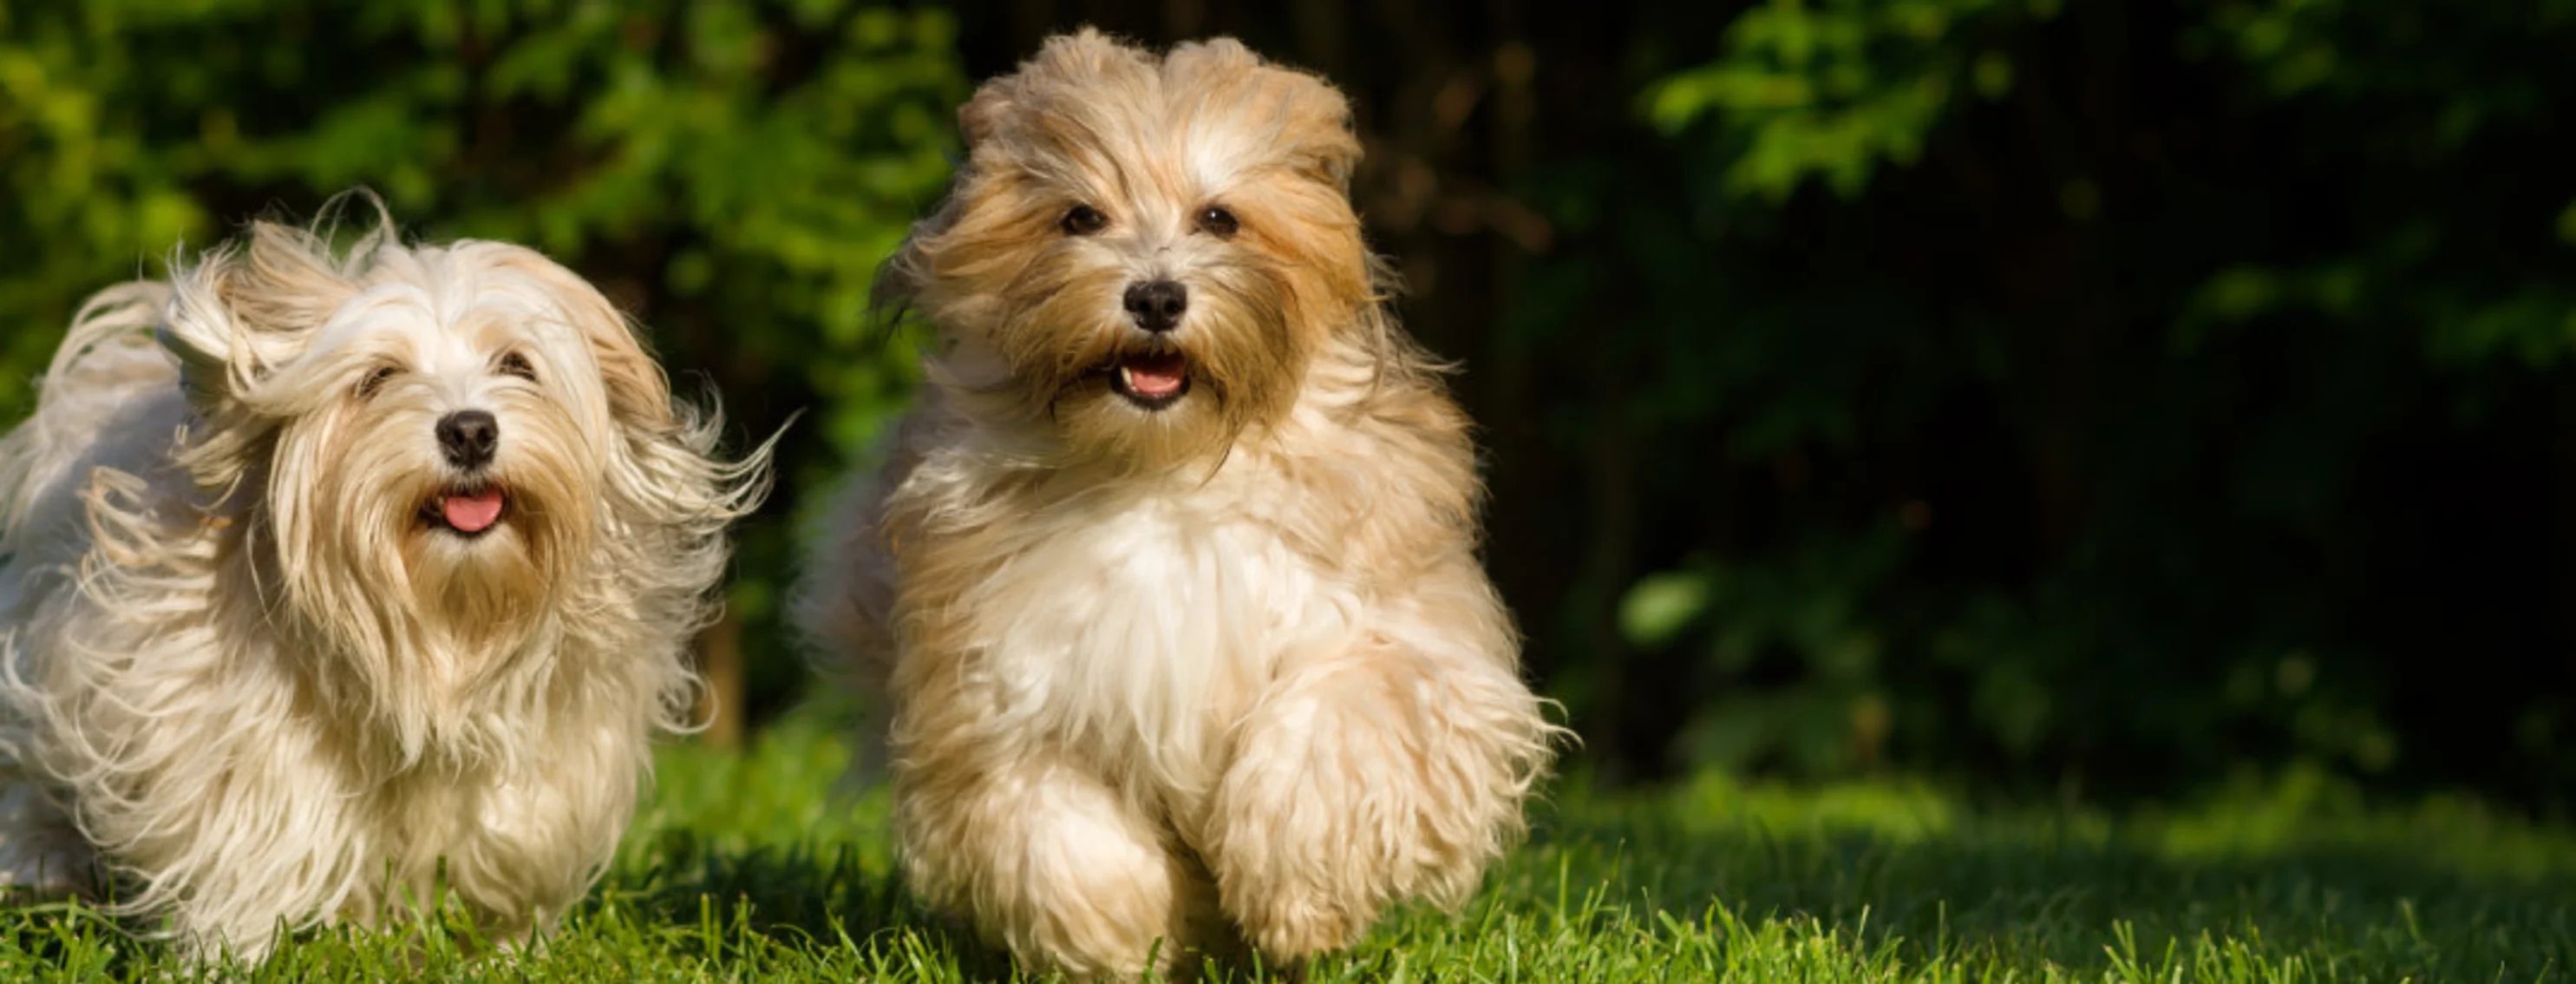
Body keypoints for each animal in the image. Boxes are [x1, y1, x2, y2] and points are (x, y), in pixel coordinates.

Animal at [0, 203, 768, 958]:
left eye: (516, 364)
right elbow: (258, 838)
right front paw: (247, 949)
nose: (470, 431)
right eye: (379, 377)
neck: (441, 621)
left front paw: (496, 946)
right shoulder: (226, 728)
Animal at [803, 32, 1555, 984]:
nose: (1156, 296)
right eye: (1080, 218)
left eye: (1220, 219)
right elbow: (1059, 832)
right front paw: (1129, 940)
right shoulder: (995, 691)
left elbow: (1336, 726)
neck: (1163, 474)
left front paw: (1295, 900)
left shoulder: (1404, 644)